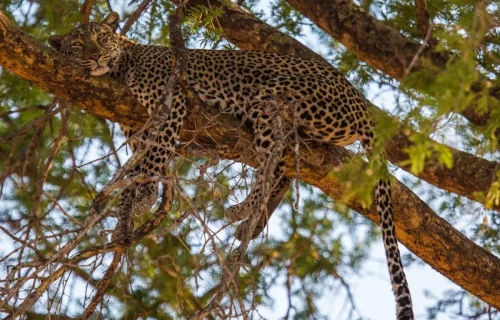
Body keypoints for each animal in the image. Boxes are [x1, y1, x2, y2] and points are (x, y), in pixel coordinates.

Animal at [47, 11, 414, 318]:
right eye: (78, 45)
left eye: (101, 38)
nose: (95, 55)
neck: (122, 66)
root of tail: (359, 100)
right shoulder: (136, 128)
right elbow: (140, 165)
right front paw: (129, 210)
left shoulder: (172, 105)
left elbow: (156, 156)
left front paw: (145, 195)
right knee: (283, 170)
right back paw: (252, 222)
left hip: (270, 100)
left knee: (273, 168)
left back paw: (243, 211)